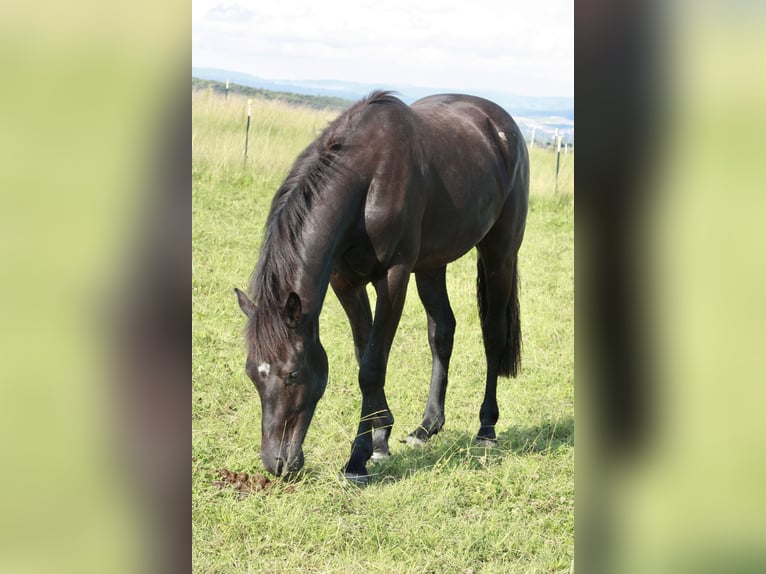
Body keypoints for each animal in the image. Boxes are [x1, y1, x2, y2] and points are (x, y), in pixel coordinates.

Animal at [237, 91, 532, 486]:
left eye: (293, 374)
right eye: (253, 374)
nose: (277, 464)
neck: (367, 176)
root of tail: (501, 124)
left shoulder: (394, 277)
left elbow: (372, 367)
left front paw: (357, 460)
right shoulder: (345, 281)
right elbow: (364, 354)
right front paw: (380, 438)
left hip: (499, 252)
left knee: (494, 335)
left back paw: (486, 429)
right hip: (432, 263)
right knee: (442, 331)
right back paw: (426, 427)